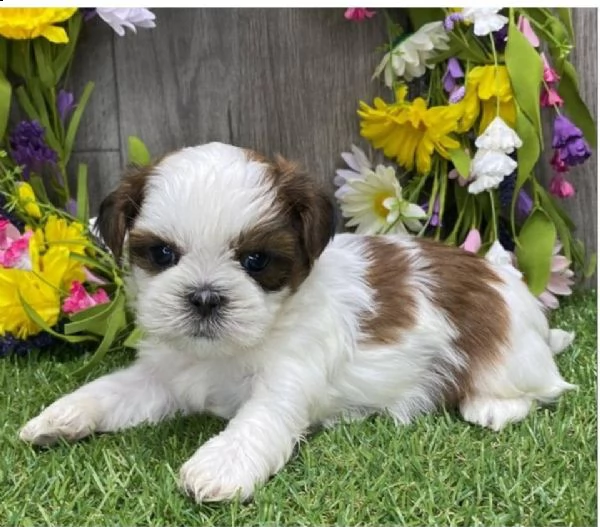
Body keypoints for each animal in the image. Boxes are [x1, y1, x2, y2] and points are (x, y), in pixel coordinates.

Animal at [18, 143, 576, 504]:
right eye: (162, 255)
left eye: (256, 261)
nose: (204, 297)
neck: (231, 347)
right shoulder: (164, 373)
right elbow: (114, 390)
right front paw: (62, 416)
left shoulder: (286, 379)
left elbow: (257, 422)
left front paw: (219, 466)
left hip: (508, 354)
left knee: (538, 387)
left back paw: (490, 406)